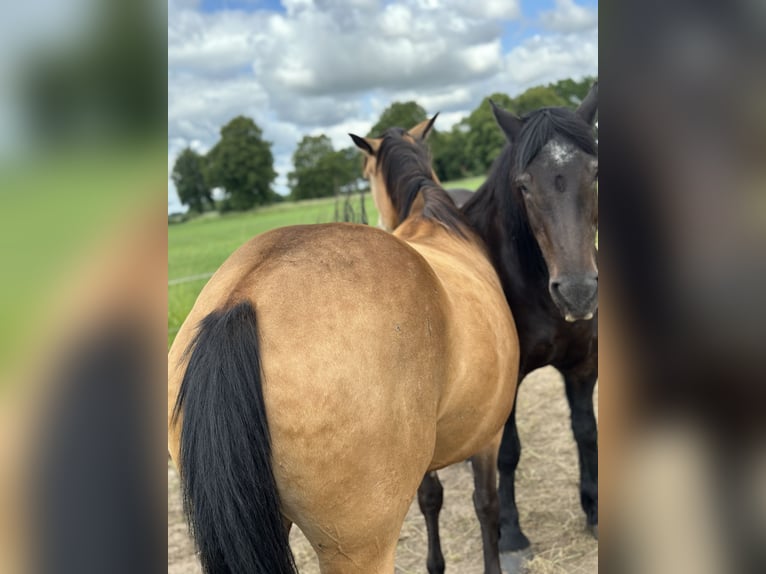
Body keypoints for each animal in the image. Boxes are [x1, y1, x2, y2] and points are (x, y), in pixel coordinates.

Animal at [168, 121, 520, 574]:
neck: (432, 222)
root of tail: (242, 297)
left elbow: (431, 500)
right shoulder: (488, 437)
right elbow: (486, 507)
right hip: (361, 549)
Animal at [414, 83, 599, 574]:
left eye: (595, 171)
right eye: (523, 185)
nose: (578, 292)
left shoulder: (583, 367)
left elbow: (585, 430)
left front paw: (593, 511)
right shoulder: (509, 381)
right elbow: (510, 453)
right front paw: (513, 534)